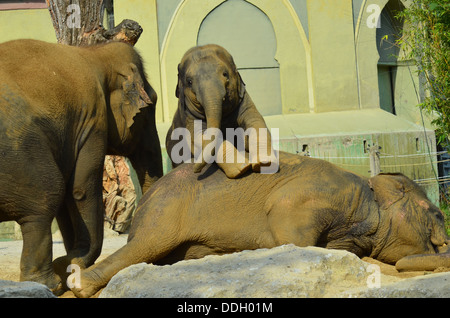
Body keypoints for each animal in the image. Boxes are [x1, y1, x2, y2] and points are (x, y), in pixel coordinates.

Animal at [0, 39, 163, 294]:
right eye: (149, 106)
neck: (96, 53)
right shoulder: (93, 121)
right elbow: (79, 189)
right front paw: (72, 263)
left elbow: (67, 199)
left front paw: (70, 264)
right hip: (19, 154)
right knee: (45, 199)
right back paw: (50, 285)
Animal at [72, 152, 448, 298]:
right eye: (438, 214)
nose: (442, 238)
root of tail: (148, 197)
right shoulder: (316, 196)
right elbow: (286, 225)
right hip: (165, 214)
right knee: (146, 247)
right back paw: (80, 286)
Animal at [167, 44, 276, 179]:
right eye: (189, 81)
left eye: (225, 74)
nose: (195, 170)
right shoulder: (188, 116)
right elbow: (199, 137)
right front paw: (242, 169)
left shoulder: (244, 100)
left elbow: (255, 121)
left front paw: (264, 164)